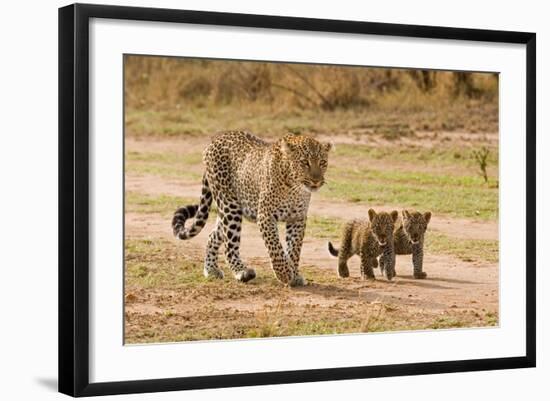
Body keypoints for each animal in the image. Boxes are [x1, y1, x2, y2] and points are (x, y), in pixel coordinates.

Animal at [172, 133, 332, 286]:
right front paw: (285, 274)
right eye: (304, 163)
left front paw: (294, 274)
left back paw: (211, 270)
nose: (316, 180)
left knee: (213, 236)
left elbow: (294, 249)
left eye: (323, 163)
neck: (294, 187)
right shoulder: (266, 216)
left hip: (227, 211)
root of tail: (214, 140)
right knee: (230, 246)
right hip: (230, 206)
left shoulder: (297, 218)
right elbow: (276, 248)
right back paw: (241, 272)